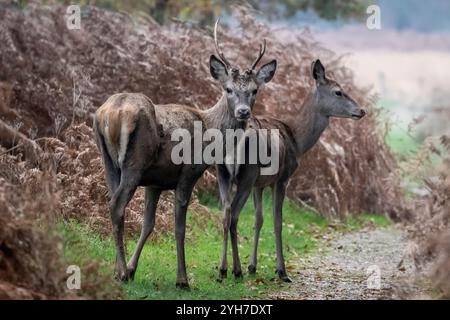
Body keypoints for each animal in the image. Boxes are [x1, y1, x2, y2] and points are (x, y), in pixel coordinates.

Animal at [92, 20, 276, 290]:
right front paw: (182, 280)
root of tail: (112, 114)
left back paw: (119, 271)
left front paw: (134, 268)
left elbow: (148, 224)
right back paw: (123, 274)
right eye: (228, 89)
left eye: (254, 90)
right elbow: (180, 228)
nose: (243, 112)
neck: (208, 129)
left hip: (108, 161)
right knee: (116, 205)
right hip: (135, 162)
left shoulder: (155, 182)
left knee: (114, 204)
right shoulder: (188, 173)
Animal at [220, 59, 368, 280]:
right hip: (247, 175)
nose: (361, 111)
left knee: (225, 214)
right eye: (338, 92)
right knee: (234, 216)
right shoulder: (281, 178)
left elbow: (258, 219)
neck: (297, 141)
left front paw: (253, 266)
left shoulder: (259, 184)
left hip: (224, 174)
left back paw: (223, 269)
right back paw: (235, 270)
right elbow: (277, 221)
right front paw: (281, 271)